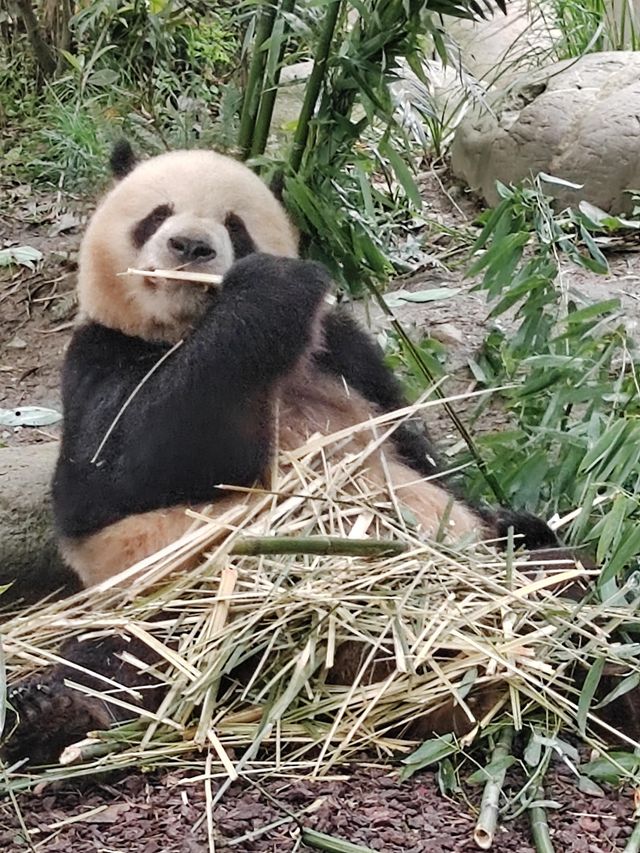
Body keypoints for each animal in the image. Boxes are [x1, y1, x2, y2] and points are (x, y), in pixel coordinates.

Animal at [3, 143, 560, 764]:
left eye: (233, 226)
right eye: (157, 214)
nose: (190, 247)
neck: (188, 330)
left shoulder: (345, 354)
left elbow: (415, 450)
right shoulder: (99, 356)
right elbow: (113, 476)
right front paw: (268, 294)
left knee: (557, 570)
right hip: (187, 600)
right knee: (128, 653)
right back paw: (58, 712)